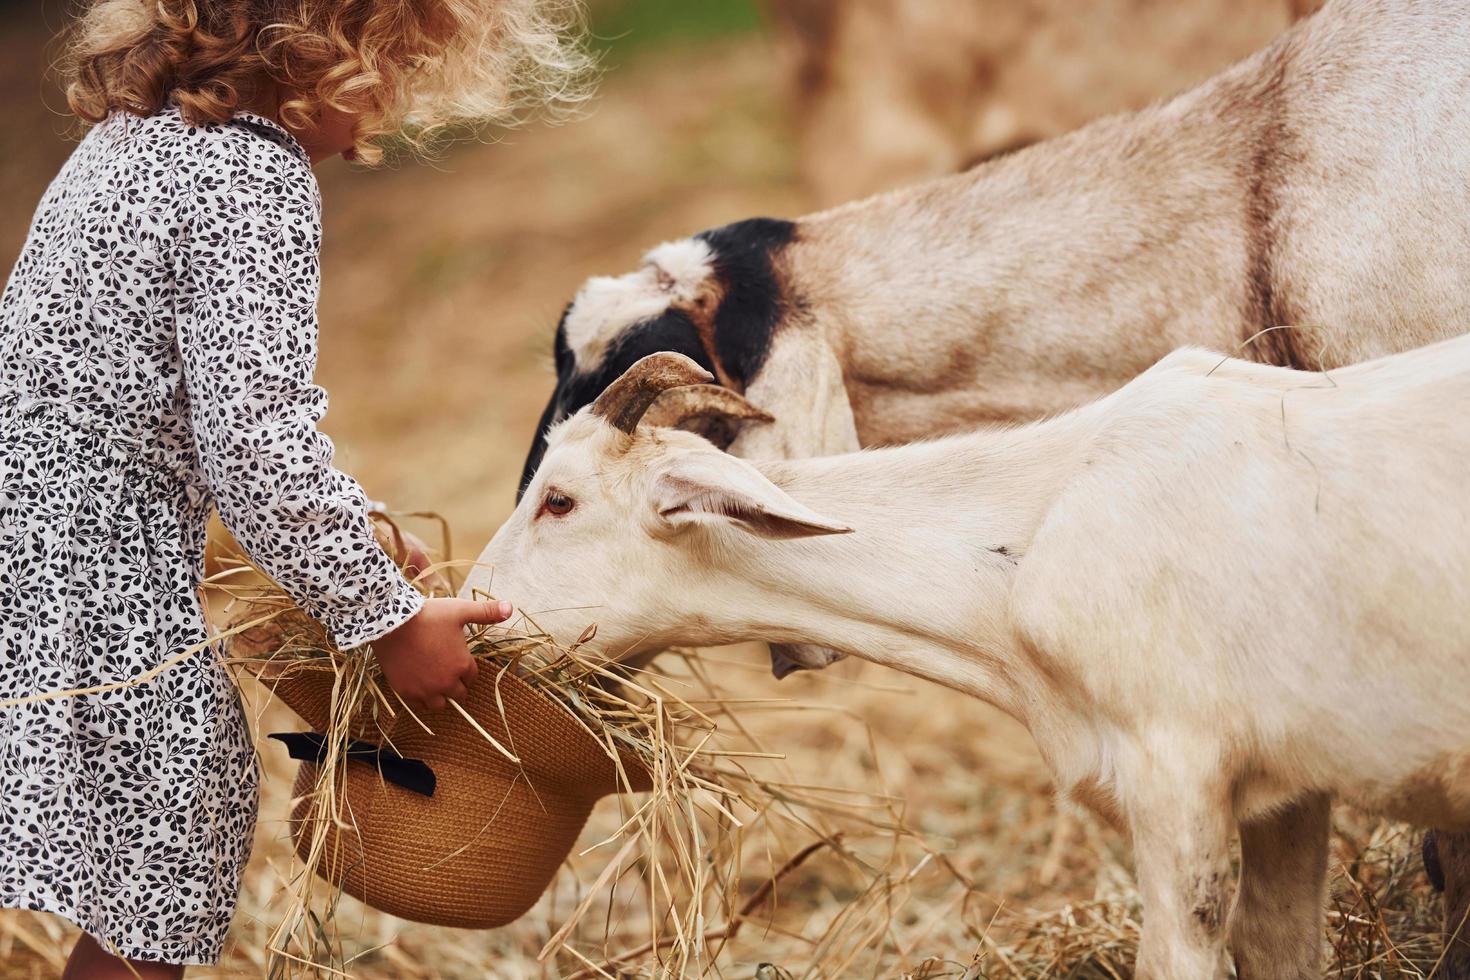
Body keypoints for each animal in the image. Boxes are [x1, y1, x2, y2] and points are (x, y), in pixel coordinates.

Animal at [476, 348, 1470, 975]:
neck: (1039, 521)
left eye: (558, 501)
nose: (477, 608)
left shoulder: (1174, 769)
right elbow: (1279, 948)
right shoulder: (1287, 792)